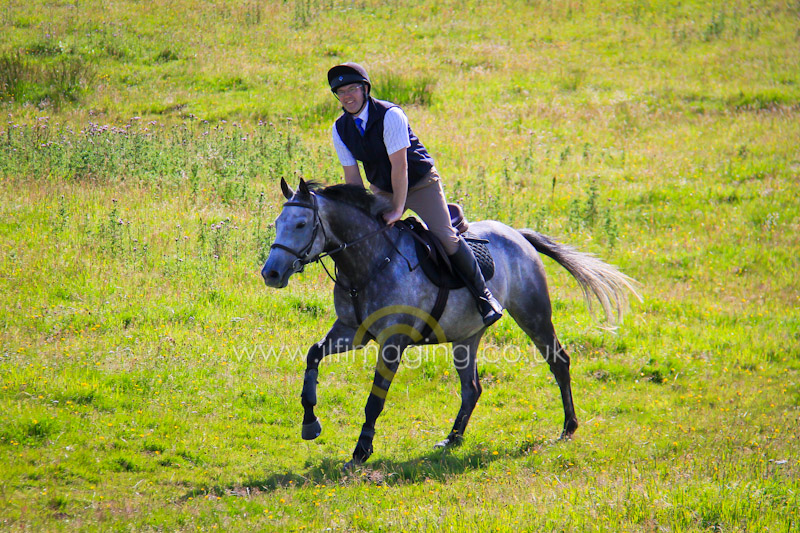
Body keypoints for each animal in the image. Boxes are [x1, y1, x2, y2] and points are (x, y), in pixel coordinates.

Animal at [262, 177, 644, 468]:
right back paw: (453, 438)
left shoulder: (392, 341)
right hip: (466, 336)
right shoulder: (351, 332)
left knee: (559, 361)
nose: (271, 273)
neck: (368, 263)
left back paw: (568, 427)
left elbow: (375, 398)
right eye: (278, 224)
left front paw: (361, 451)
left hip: (533, 314)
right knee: (472, 387)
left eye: (300, 224)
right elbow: (312, 354)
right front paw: (310, 423)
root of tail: (518, 235)